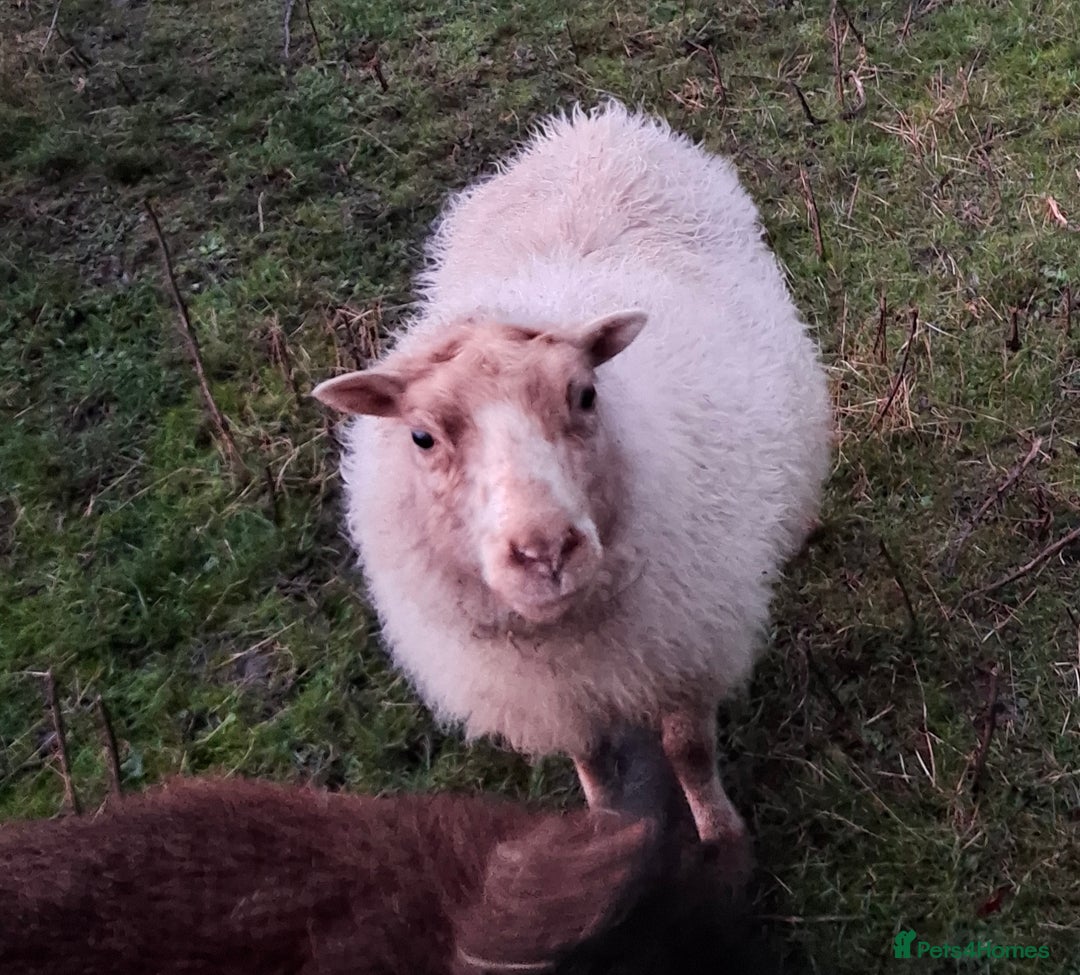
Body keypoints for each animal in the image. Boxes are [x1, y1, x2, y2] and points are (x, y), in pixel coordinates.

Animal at [312, 100, 833, 844]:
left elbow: (688, 750)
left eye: (585, 395)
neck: (570, 635)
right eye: (421, 435)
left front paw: (720, 834)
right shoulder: (555, 694)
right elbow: (591, 760)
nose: (544, 551)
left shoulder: (687, 642)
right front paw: (608, 831)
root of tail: (595, 124)